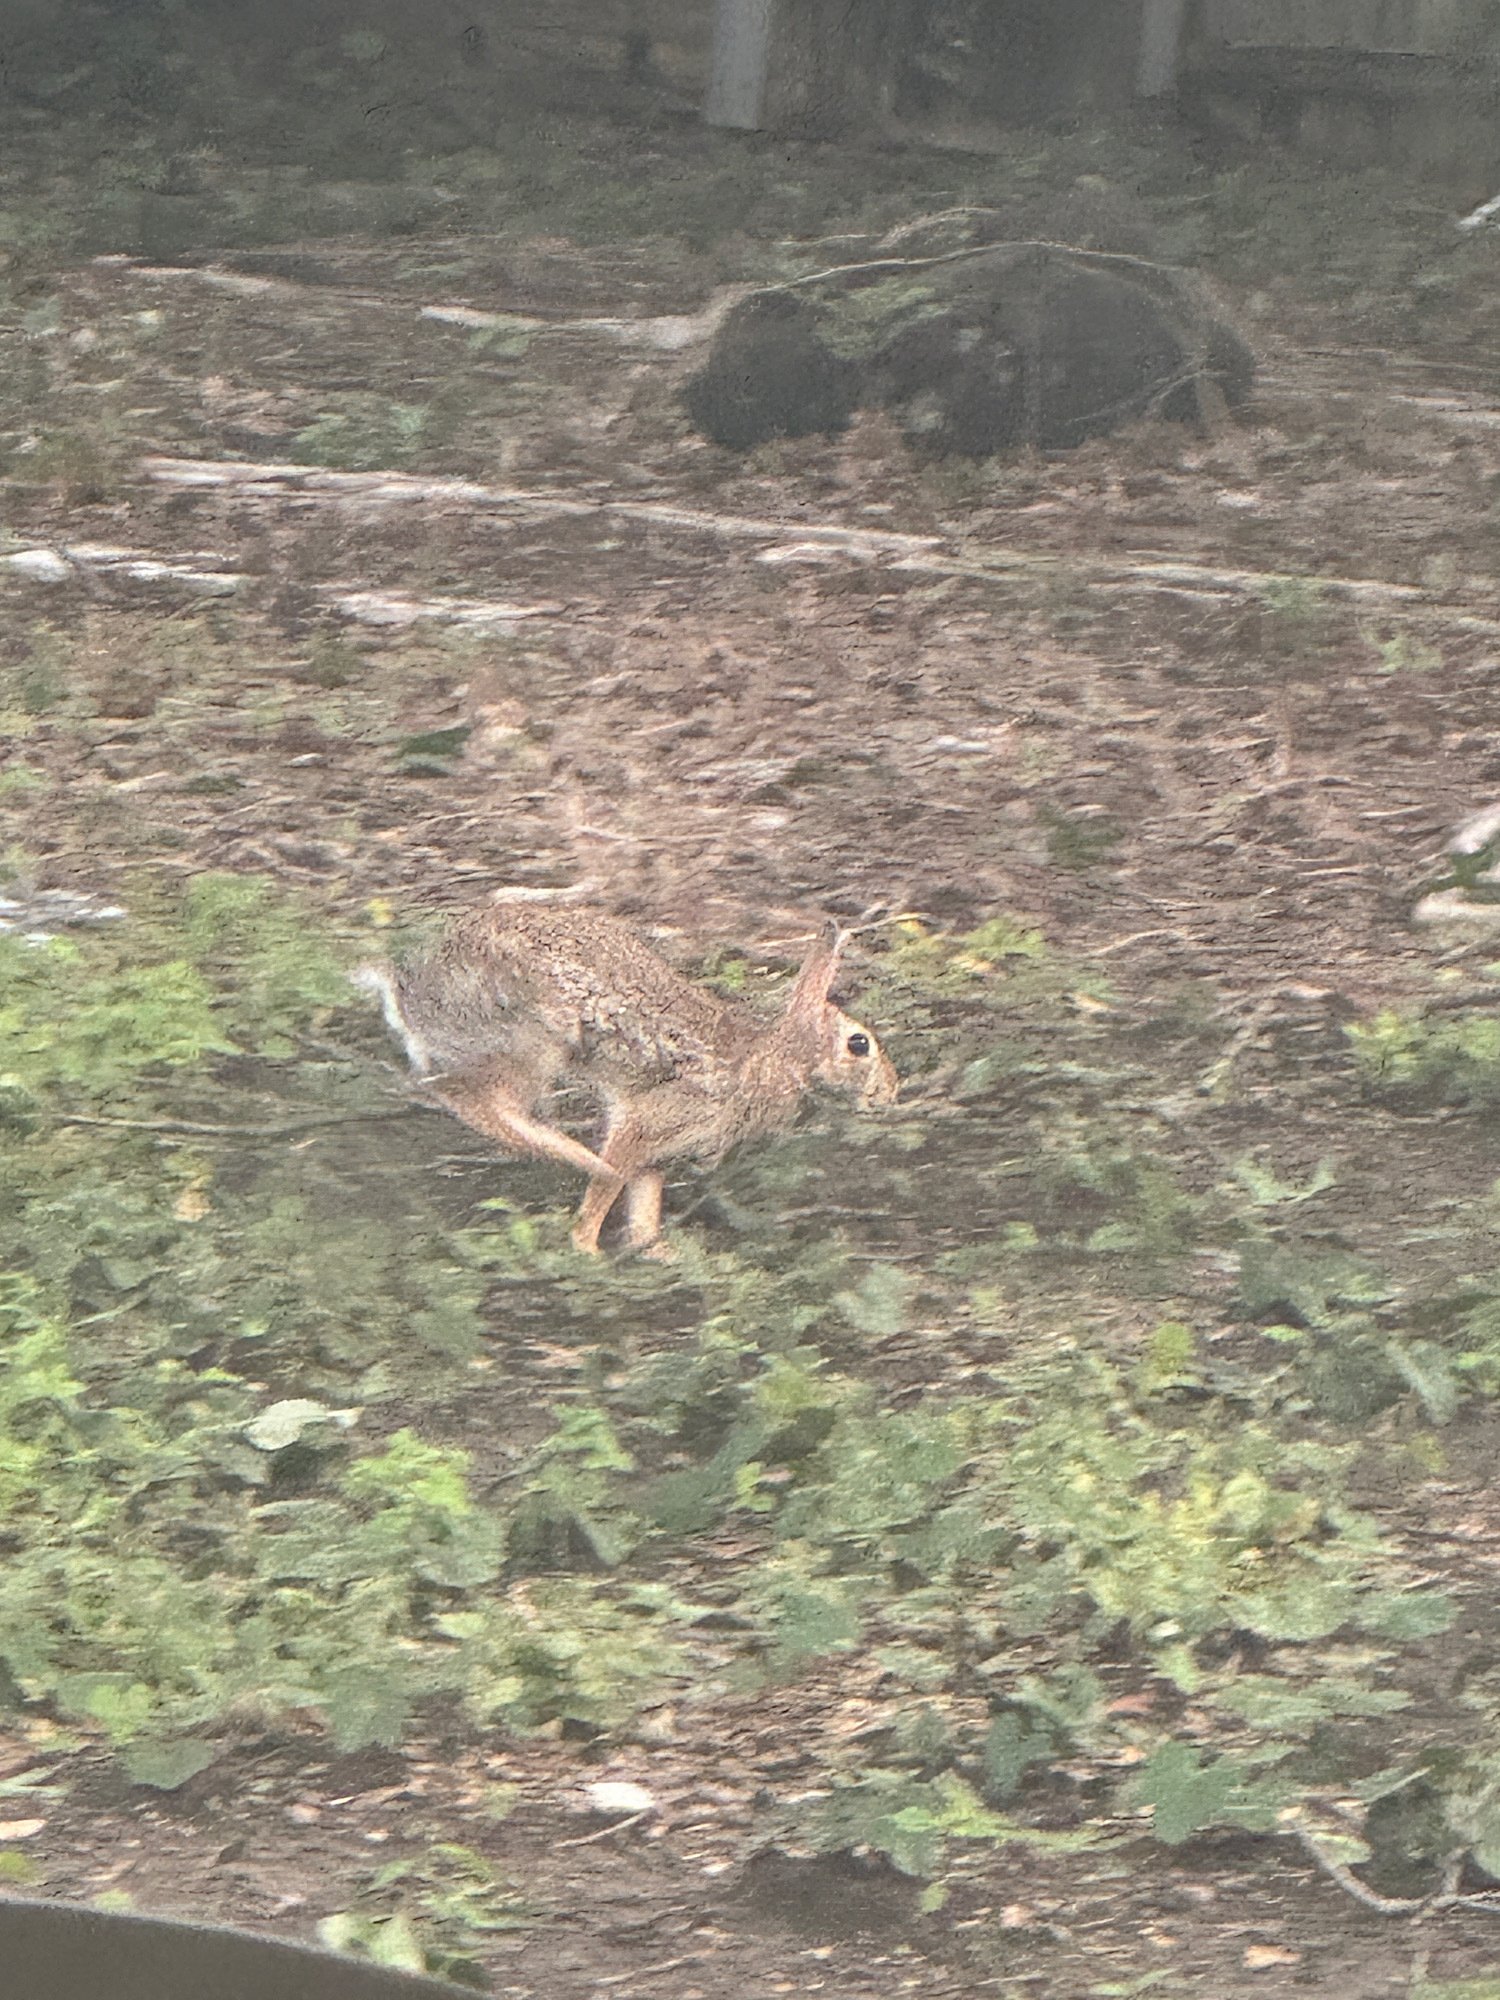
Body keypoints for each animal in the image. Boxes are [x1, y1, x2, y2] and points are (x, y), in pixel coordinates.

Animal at [358, 904, 900, 1248]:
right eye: (859, 1044)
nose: (890, 1093)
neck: (776, 1060)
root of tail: (412, 997)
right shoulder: (648, 1122)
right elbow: (612, 1188)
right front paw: (586, 1247)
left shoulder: (658, 1153)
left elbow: (644, 1206)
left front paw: (655, 1252)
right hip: (536, 1038)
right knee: (480, 1104)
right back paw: (585, 1159)